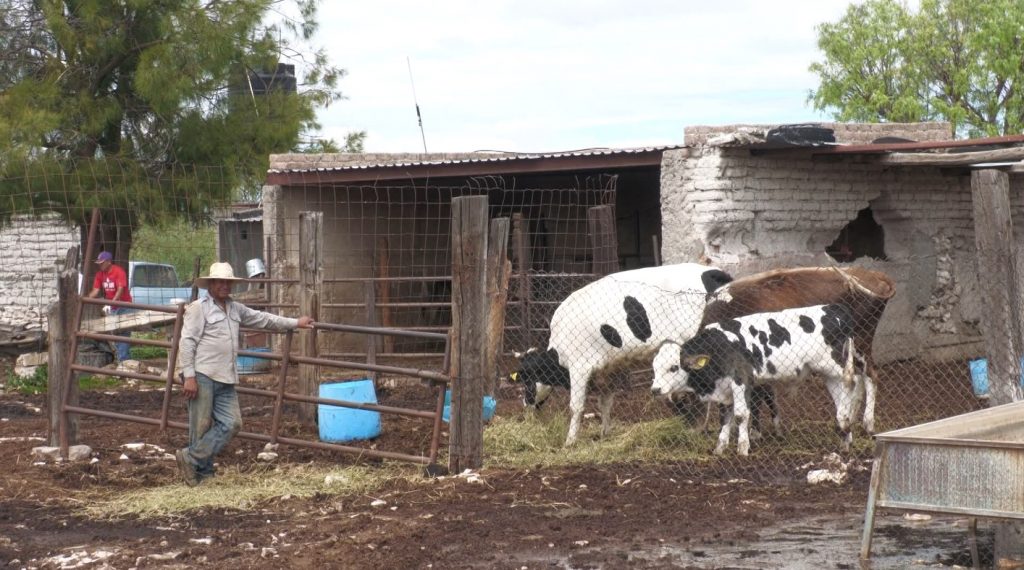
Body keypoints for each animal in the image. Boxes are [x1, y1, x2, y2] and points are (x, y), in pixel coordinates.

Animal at [509, 261, 729, 444]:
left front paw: (570, 441)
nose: (525, 406)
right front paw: (604, 433)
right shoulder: (610, 369)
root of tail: (712, 272)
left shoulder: (579, 367)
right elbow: (605, 403)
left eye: (526, 381)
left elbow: (576, 406)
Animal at [651, 304, 860, 456]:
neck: (719, 347)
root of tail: (836, 308)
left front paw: (743, 448)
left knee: (853, 382)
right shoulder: (725, 389)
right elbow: (725, 418)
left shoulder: (741, 379)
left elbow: (741, 415)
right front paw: (720, 448)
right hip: (829, 374)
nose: (655, 390)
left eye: (673, 367)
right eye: (654, 368)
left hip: (838, 366)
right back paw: (845, 433)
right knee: (840, 397)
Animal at [696, 264, 897, 433]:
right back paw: (850, 418)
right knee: (857, 379)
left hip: (861, 342)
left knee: (870, 376)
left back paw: (867, 424)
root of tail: (876, 275)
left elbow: (759, 397)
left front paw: (757, 431)